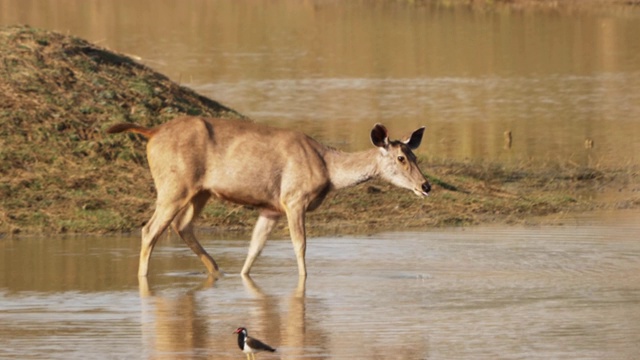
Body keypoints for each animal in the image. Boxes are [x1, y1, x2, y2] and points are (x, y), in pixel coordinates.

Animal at [107, 118, 432, 278]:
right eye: (401, 157)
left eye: (415, 155)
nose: (426, 185)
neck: (327, 168)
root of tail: (152, 132)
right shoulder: (293, 198)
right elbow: (300, 246)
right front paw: (304, 282)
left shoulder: (270, 209)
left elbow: (254, 249)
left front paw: (244, 277)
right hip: (174, 184)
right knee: (150, 229)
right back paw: (144, 281)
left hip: (200, 191)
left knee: (182, 226)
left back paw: (217, 271)